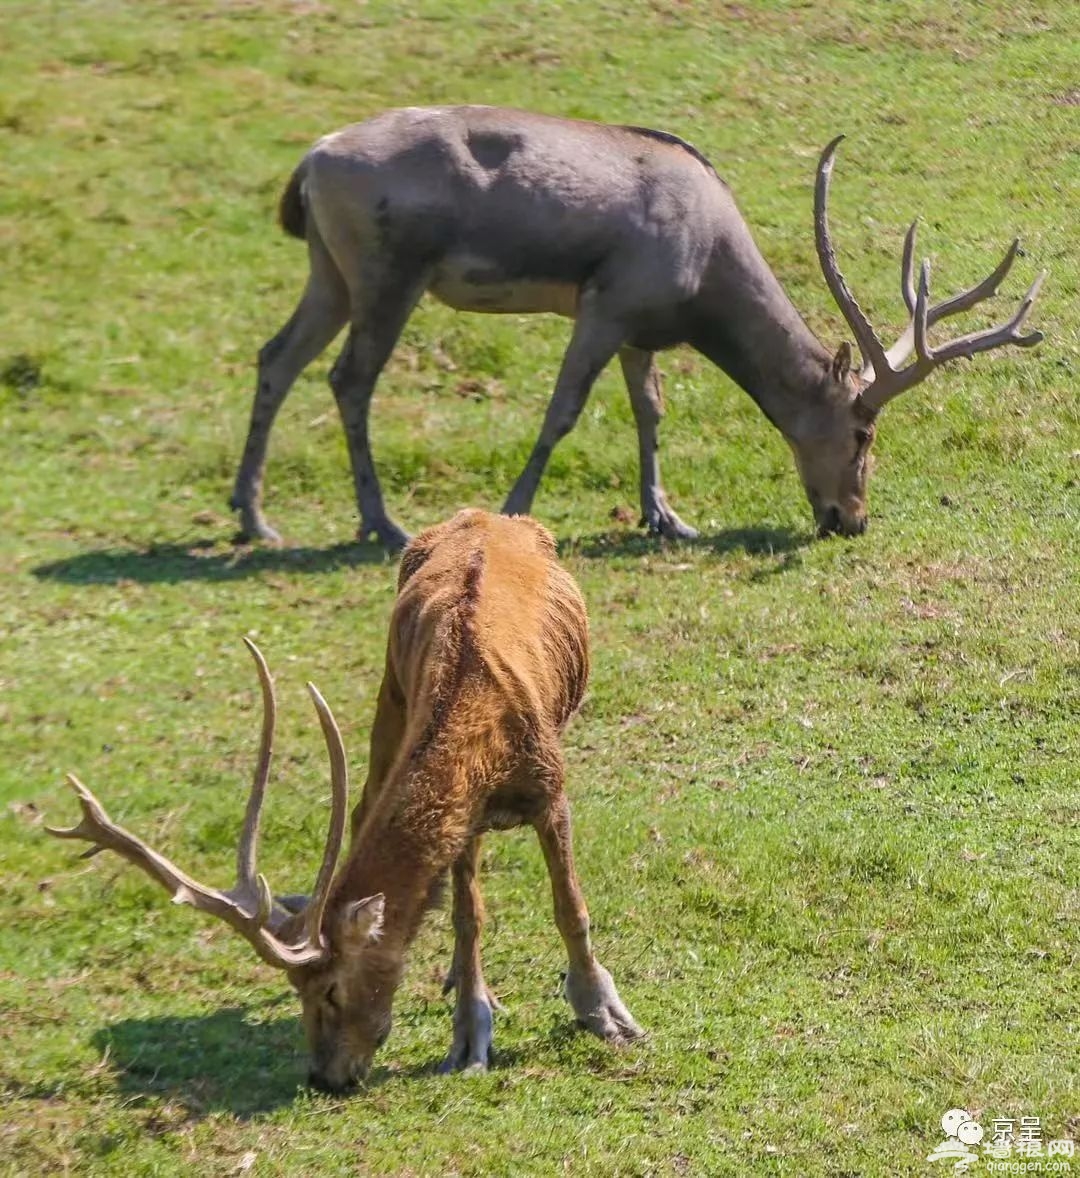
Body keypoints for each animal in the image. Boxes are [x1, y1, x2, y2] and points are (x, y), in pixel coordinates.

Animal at [48, 511, 640, 1088]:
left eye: (331, 989)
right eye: (297, 992)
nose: (323, 1076)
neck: (482, 728)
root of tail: (488, 514)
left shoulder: (549, 785)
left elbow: (570, 906)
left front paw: (606, 1015)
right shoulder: (463, 809)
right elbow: (467, 912)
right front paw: (470, 1035)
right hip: (390, 696)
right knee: (369, 809)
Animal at [229, 103, 1045, 544]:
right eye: (863, 433)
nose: (851, 519)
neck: (705, 272)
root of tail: (313, 160)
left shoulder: (642, 328)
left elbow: (649, 410)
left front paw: (667, 517)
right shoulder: (609, 302)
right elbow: (563, 410)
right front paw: (514, 511)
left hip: (330, 271)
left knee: (277, 356)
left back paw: (253, 516)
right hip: (388, 272)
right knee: (349, 377)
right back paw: (382, 522)